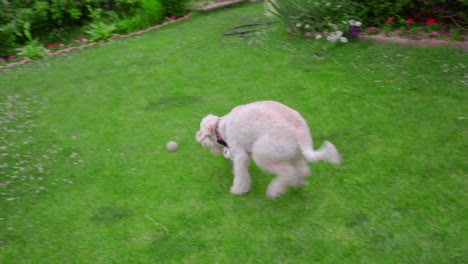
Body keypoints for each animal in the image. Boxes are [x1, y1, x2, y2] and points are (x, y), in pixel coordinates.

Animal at [195, 100, 340, 198]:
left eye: (206, 137)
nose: (203, 144)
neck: (221, 126)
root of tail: (301, 134)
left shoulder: (240, 153)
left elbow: (240, 172)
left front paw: (238, 190)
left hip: (262, 153)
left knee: (287, 171)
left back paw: (274, 191)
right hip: (295, 154)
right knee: (302, 170)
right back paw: (297, 184)